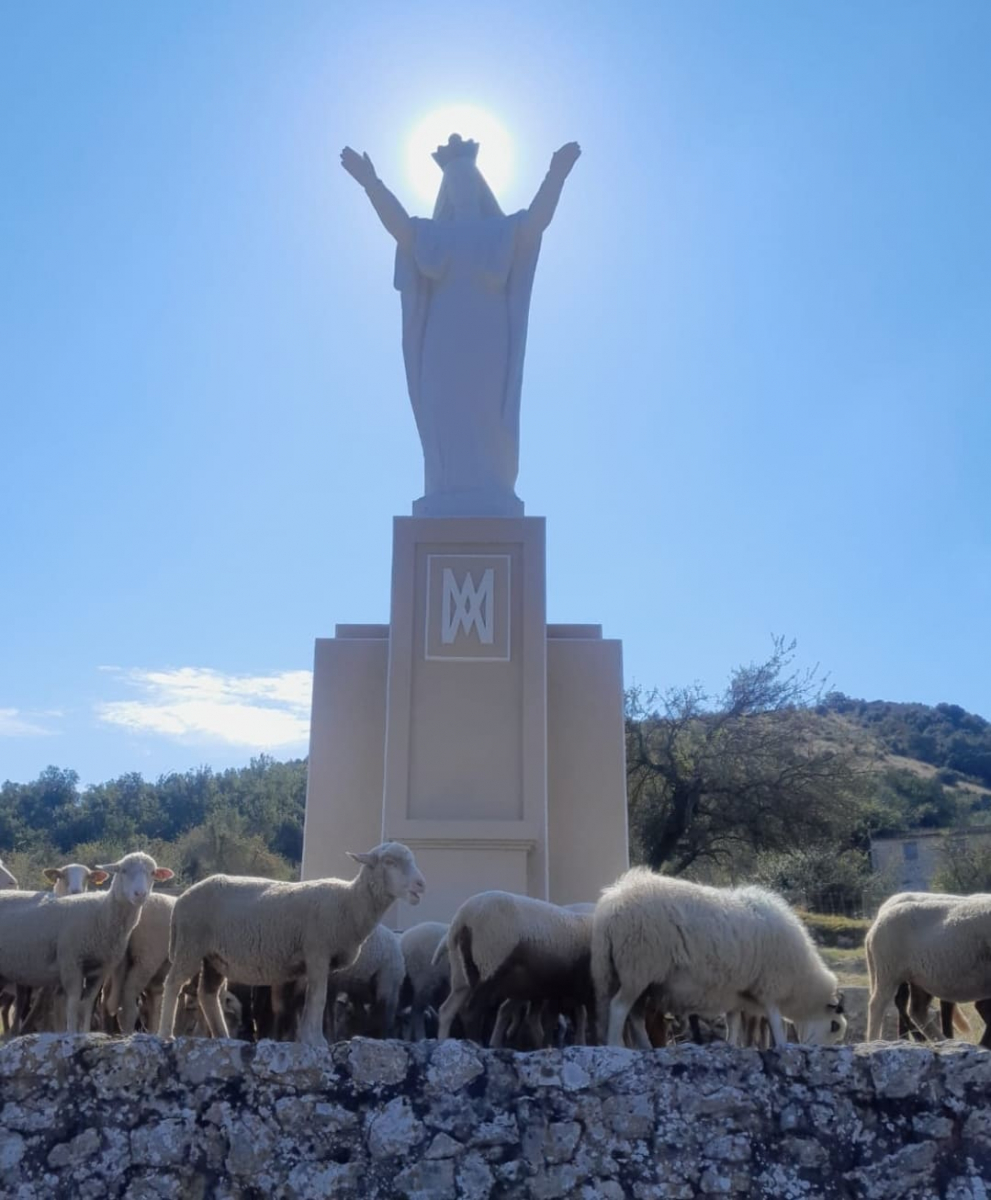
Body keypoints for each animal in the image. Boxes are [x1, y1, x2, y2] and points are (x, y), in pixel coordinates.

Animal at [0, 849, 171, 1036]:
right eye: (123, 870)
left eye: (153, 873)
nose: (140, 894)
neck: (101, 912)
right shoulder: (71, 963)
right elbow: (74, 1002)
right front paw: (71, 1033)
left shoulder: (99, 970)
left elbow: (87, 1004)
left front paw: (84, 1032)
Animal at [158, 840, 424, 1046]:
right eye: (389, 862)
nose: (421, 884)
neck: (349, 903)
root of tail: (181, 900)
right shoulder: (317, 951)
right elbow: (318, 998)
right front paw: (316, 1040)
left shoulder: (317, 964)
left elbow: (313, 1000)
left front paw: (308, 1036)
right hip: (190, 944)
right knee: (173, 983)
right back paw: (166, 1035)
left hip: (212, 957)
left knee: (207, 994)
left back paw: (223, 1036)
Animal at [434, 892, 595, 1051]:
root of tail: (462, 918)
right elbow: (580, 1015)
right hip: (489, 966)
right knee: (472, 1010)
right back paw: (477, 1044)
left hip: (462, 974)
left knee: (447, 1010)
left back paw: (444, 1042)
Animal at [590, 868, 844, 1046]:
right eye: (834, 1026)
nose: (818, 1048)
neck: (802, 982)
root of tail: (611, 907)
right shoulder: (770, 985)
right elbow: (775, 1019)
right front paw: (782, 1045)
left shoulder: (735, 994)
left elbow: (734, 1023)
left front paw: (731, 1045)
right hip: (638, 968)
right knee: (619, 1008)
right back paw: (616, 1045)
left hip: (627, 975)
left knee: (634, 1016)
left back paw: (645, 1047)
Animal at [859, 888, 988, 1046]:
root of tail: (873, 929)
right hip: (888, 969)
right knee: (878, 1003)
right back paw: (874, 1040)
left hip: (919, 978)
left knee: (916, 1011)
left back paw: (940, 1040)